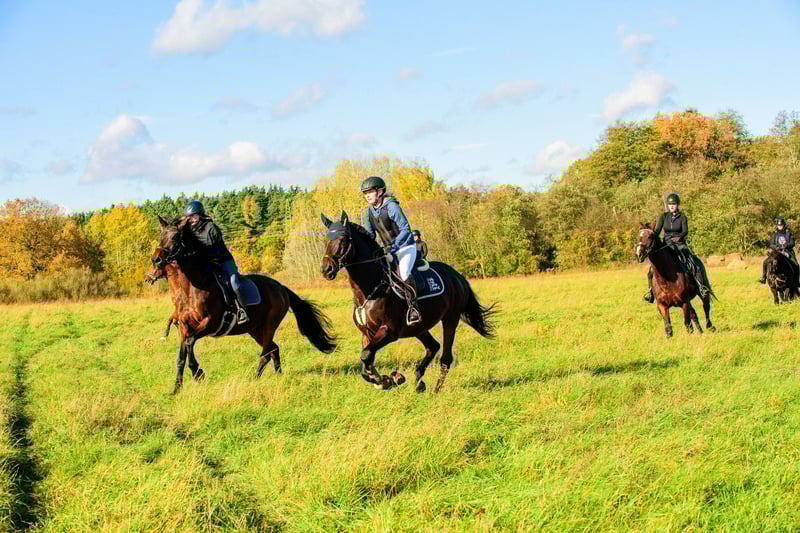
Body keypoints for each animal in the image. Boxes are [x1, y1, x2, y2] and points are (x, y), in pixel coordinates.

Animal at [154, 216, 337, 393]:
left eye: (175, 237)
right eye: (161, 236)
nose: (155, 259)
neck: (191, 288)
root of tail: (281, 287)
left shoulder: (210, 323)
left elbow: (190, 342)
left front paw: (198, 372)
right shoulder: (183, 326)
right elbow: (181, 355)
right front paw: (176, 389)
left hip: (269, 325)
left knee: (267, 352)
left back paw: (255, 379)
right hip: (254, 329)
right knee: (274, 349)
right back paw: (279, 376)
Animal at [320, 212, 496, 393]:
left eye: (342, 240)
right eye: (326, 240)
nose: (326, 269)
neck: (370, 289)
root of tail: (457, 276)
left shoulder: (389, 331)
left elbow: (366, 356)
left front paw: (387, 379)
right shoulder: (367, 333)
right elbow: (365, 362)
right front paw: (387, 379)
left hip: (450, 319)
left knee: (445, 358)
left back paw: (435, 389)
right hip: (419, 327)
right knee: (433, 347)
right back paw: (419, 381)